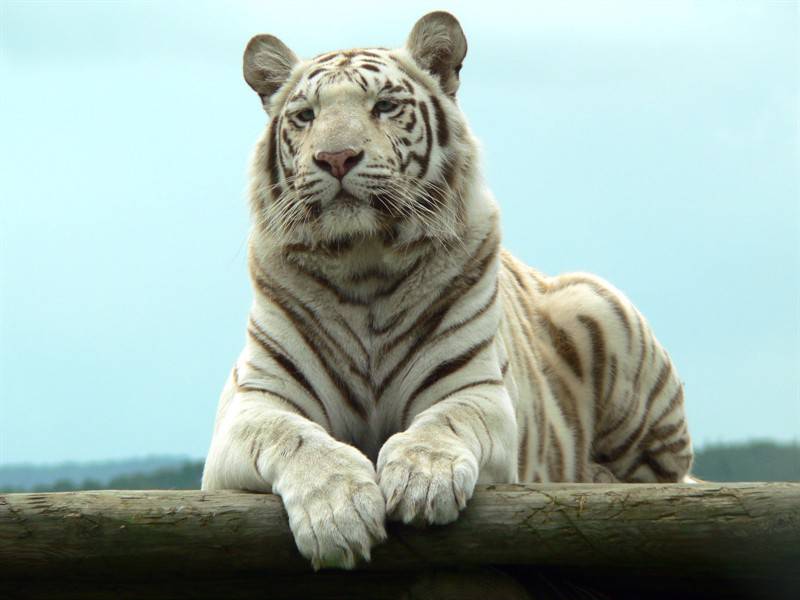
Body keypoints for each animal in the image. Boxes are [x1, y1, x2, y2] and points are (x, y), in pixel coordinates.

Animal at [202, 11, 692, 568]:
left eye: (384, 105)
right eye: (306, 116)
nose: (337, 157)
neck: (362, 264)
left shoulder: (474, 389)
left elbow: (444, 423)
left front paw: (421, 481)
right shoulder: (255, 404)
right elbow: (297, 439)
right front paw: (337, 512)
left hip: (598, 307)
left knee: (663, 476)